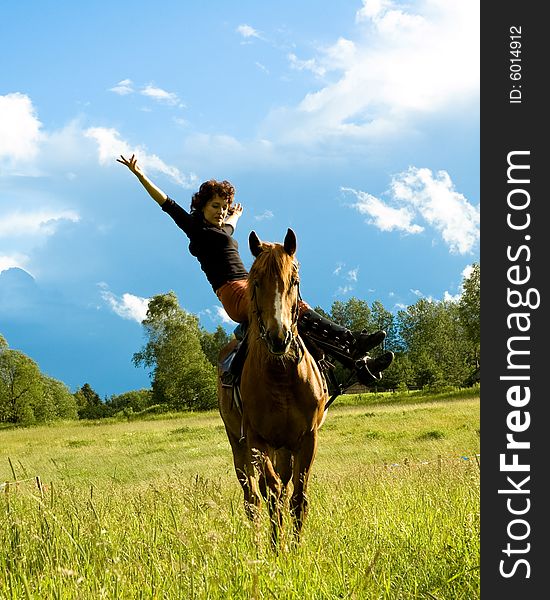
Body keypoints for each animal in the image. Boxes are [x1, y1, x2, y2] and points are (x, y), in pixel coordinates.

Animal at [218, 229, 330, 548]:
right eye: (256, 282)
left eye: (294, 281)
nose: (279, 337)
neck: (282, 377)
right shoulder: (257, 441)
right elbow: (272, 492)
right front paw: (276, 546)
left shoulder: (307, 439)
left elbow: (298, 496)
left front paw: (296, 545)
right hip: (239, 445)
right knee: (253, 498)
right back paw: (258, 540)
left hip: (284, 449)